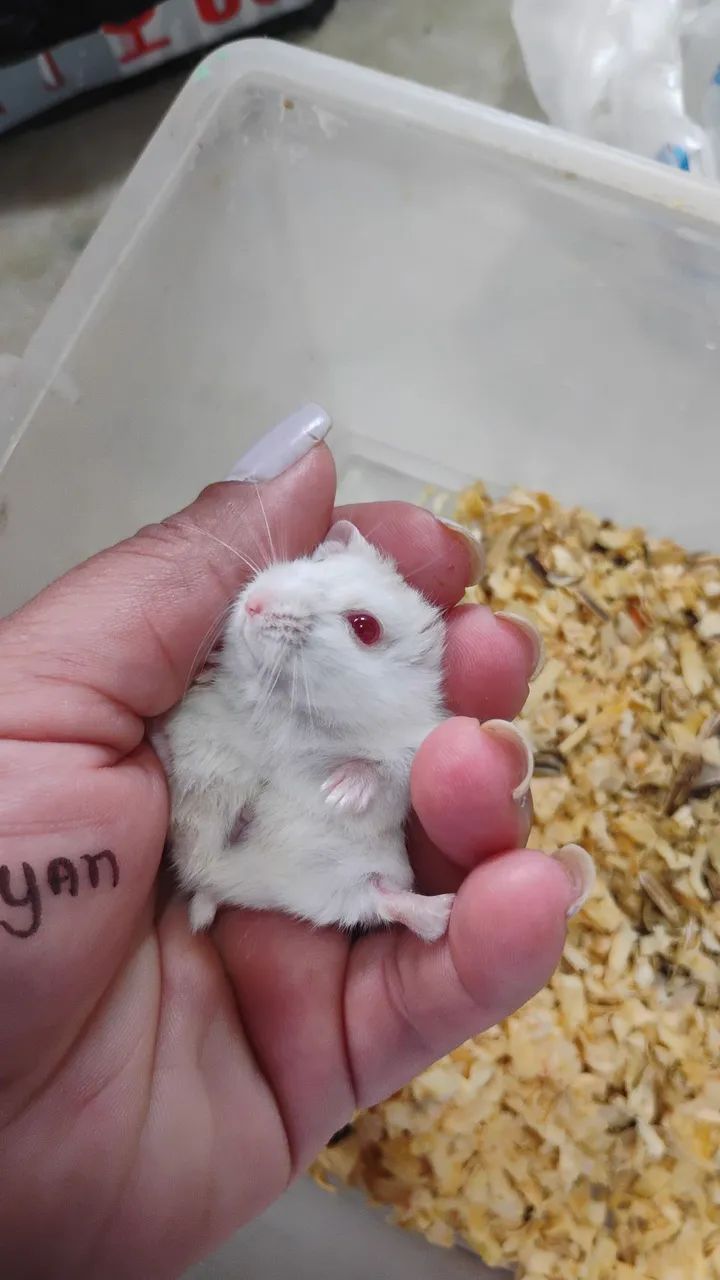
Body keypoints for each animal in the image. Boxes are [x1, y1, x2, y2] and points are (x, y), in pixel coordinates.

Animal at [159, 520, 454, 942]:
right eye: (316, 562)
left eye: (365, 626)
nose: (253, 603)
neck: (287, 711)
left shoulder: (413, 747)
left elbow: (380, 770)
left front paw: (338, 793)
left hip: (357, 877)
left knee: (383, 898)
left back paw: (443, 911)